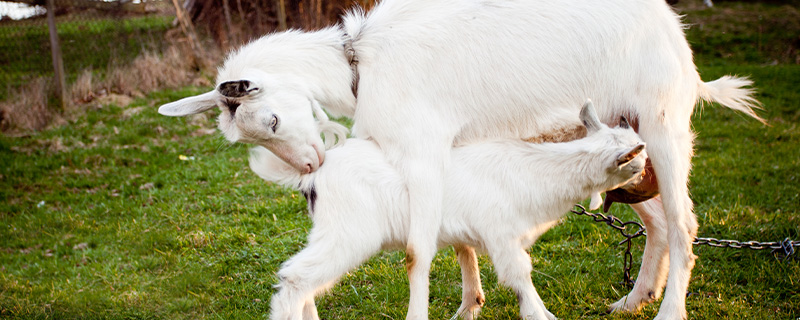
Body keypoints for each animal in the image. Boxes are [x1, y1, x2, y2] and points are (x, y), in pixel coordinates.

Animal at [156, 1, 764, 318]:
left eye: (271, 122)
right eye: (248, 139)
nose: (309, 167)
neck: (360, 64)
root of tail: (675, 32)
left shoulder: (420, 147)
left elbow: (418, 251)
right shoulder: (446, 149)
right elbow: (460, 238)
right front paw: (469, 305)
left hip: (663, 121)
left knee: (684, 224)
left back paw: (669, 310)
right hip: (627, 140)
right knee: (656, 221)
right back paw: (633, 300)